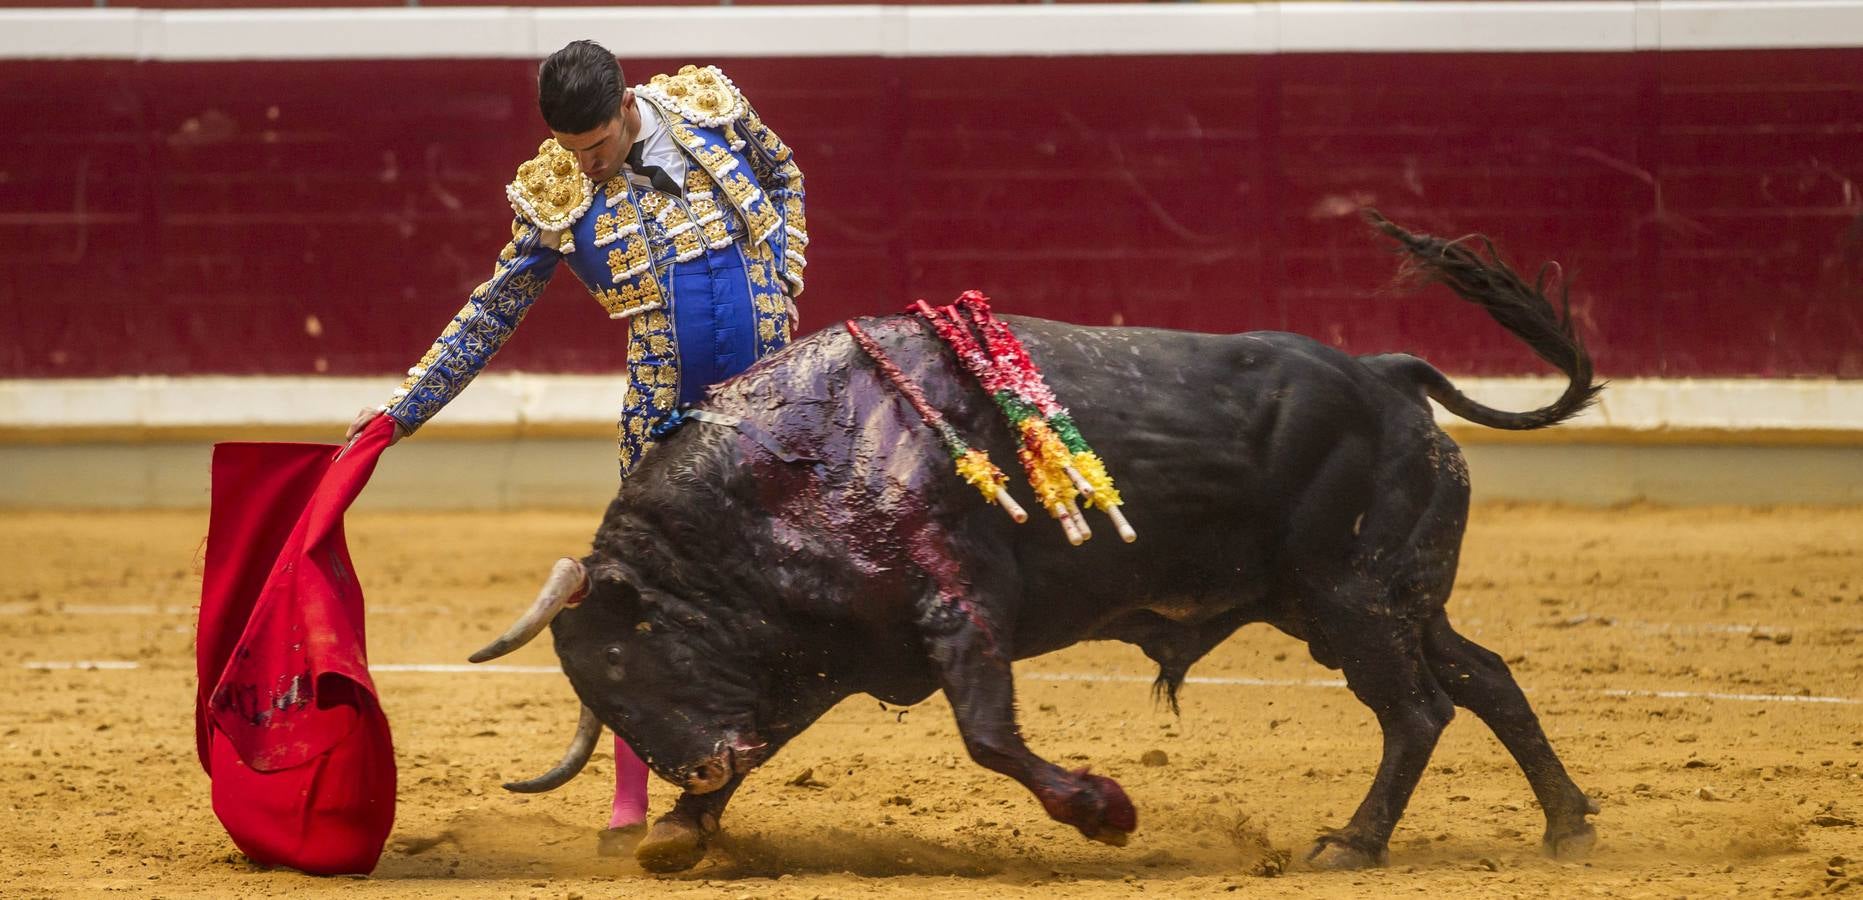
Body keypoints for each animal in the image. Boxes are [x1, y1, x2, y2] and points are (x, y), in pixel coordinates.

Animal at [462, 213, 1602, 872]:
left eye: (623, 658)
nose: (698, 764)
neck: (788, 471)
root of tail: (1390, 376)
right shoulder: (827, 652)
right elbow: (783, 736)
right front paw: (680, 832)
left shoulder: (961, 607)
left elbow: (988, 735)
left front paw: (1104, 812)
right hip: (1384, 597)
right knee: (1487, 678)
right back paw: (1568, 827)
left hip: (1350, 600)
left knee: (1418, 710)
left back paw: (1352, 845)